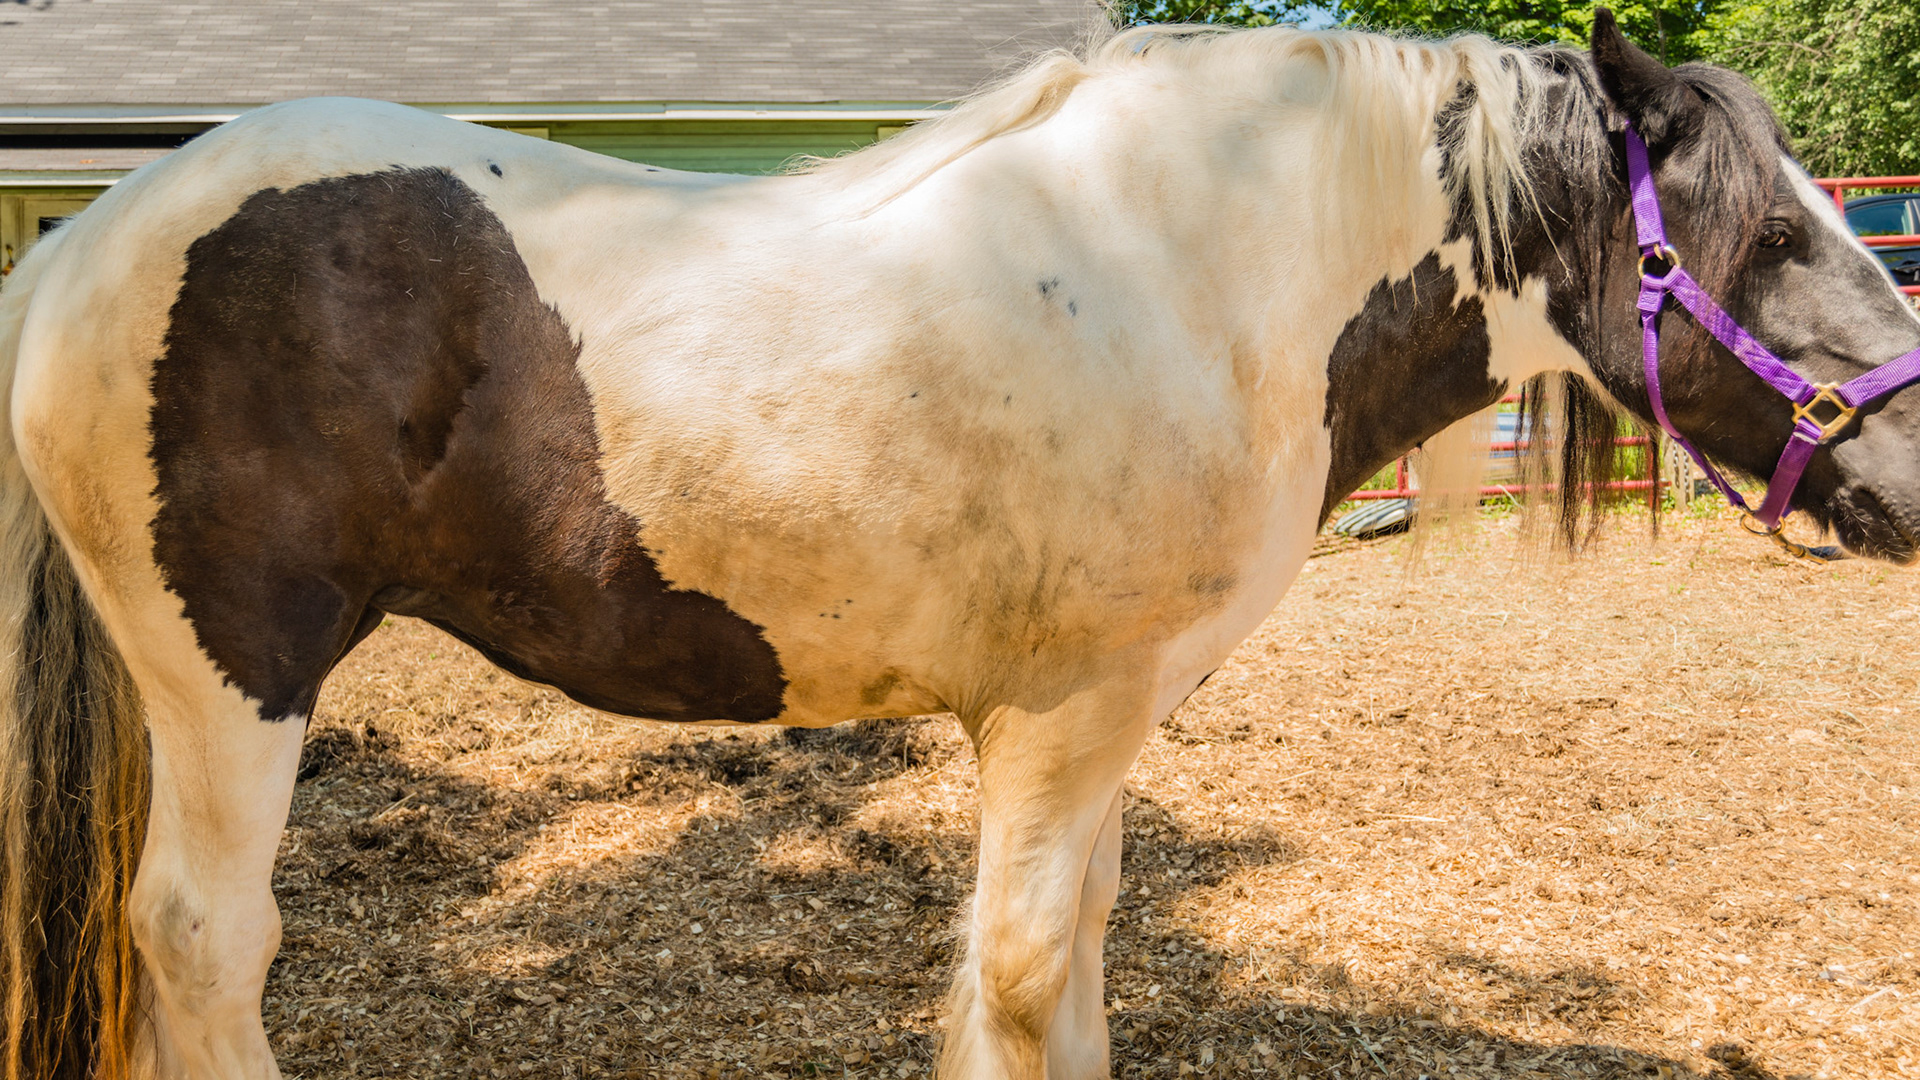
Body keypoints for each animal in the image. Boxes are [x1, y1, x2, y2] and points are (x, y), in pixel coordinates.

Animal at [4, 9, 1918, 1078]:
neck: (1189, 269)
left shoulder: (1114, 724)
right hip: (234, 681)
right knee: (202, 940)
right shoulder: (1054, 726)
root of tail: (87, 237)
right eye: (1760, 241)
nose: (1909, 469)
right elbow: (1017, 977)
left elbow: (1079, 963)